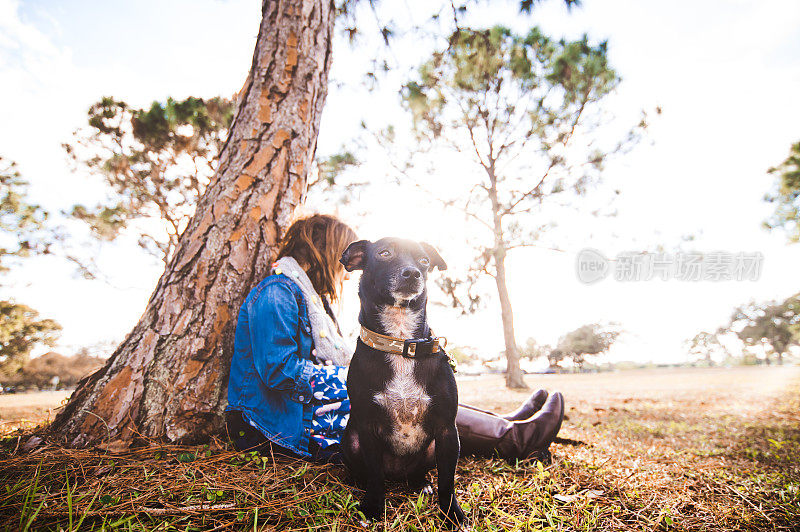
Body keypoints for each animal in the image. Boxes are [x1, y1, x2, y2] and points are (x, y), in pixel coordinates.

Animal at [340, 239, 466, 524]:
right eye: (384, 253)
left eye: (424, 260)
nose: (412, 273)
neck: (400, 342)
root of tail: (397, 474)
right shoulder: (367, 429)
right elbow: (375, 476)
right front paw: (373, 507)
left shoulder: (447, 431)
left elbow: (447, 481)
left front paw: (452, 514)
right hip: (351, 441)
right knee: (369, 472)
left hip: (432, 449)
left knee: (420, 473)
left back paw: (421, 483)